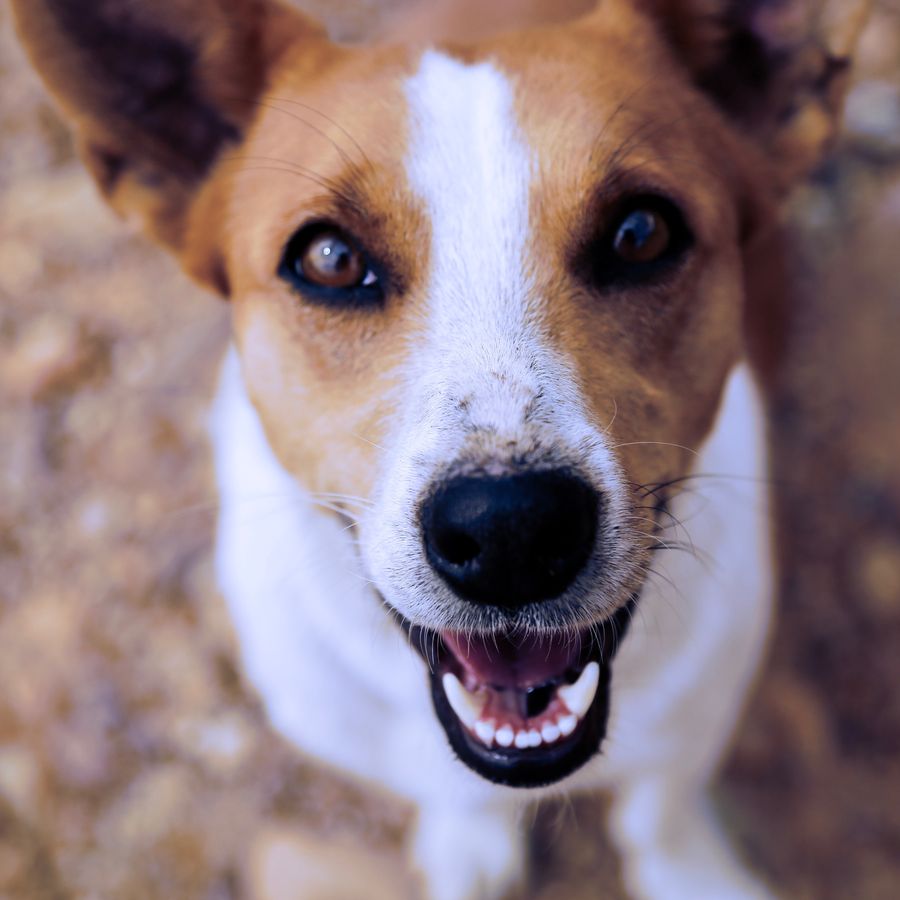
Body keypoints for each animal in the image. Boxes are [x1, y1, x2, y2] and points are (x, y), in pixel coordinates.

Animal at [14, 1, 868, 900]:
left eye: (641, 233)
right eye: (329, 258)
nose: (509, 533)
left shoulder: (704, 704)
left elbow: (660, 807)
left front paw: (690, 872)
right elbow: (465, 800)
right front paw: (471, 841)